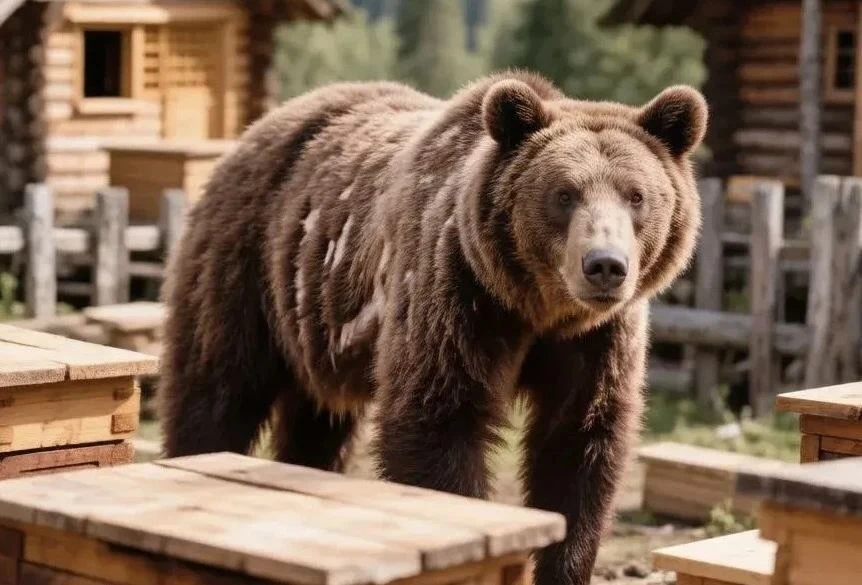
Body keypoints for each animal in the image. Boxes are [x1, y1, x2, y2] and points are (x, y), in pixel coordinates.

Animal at [157, 70, 707, 585]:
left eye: (636, 195)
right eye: (564, 193)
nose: (605, 265)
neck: (537, 307)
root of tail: (256, 130)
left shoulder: (595, 341)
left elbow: (578, 447)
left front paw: (564, 565)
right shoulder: (457, 296)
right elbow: (439, 421)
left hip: (316, 321)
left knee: (318, 420)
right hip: (246, 268)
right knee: (218, 389)